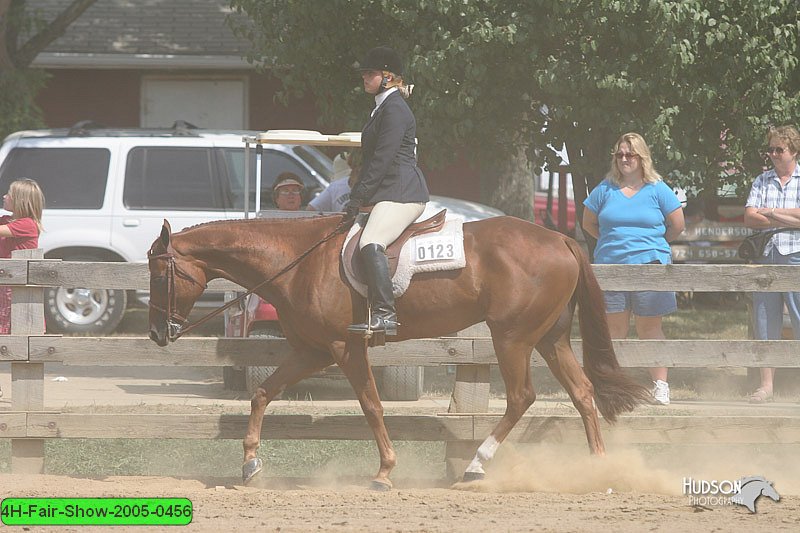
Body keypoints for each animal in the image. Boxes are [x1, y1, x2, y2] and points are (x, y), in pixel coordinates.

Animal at [148, 214, 648, 488]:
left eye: (159, 274)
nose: (155, 333)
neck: (297, 262)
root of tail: (559, 238)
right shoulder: (312, 350)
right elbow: (262, 394)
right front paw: (250, 463)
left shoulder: (344, 347)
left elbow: (371, 405)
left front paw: (385, 472)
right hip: (549, 338)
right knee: (582, 393)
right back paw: (599, 468)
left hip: (513, 338)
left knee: (521, 397)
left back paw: (476, 465)